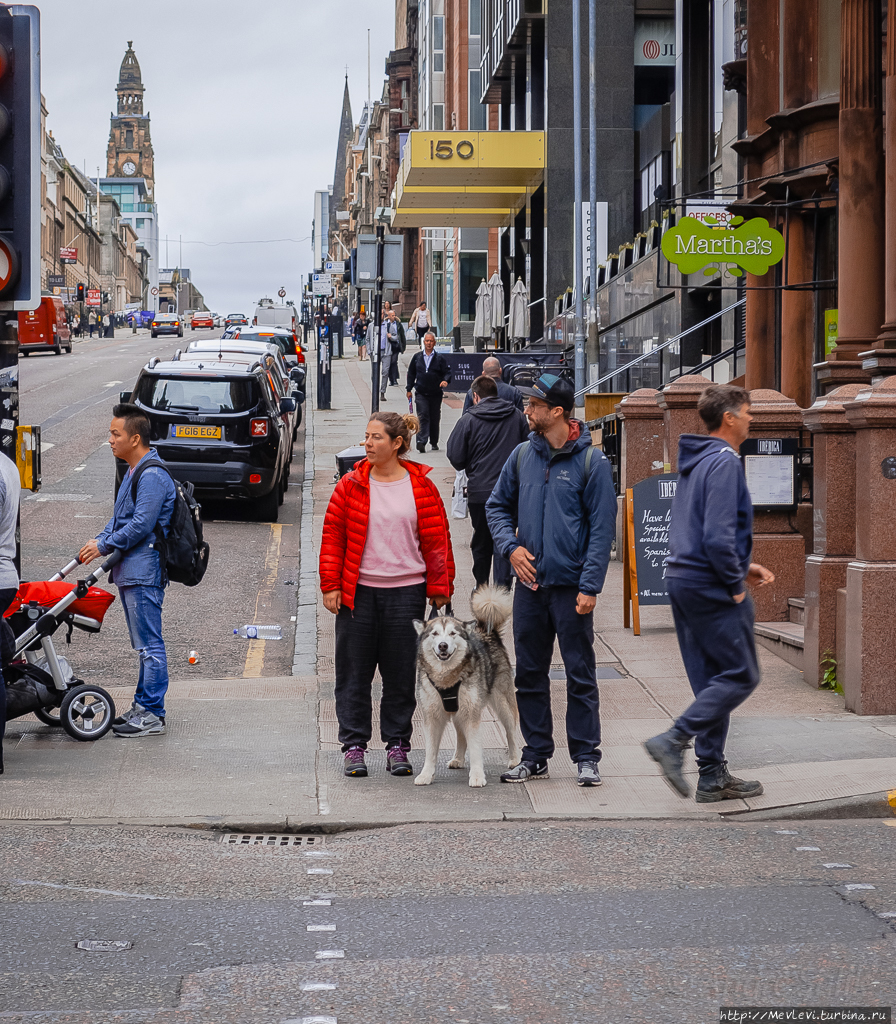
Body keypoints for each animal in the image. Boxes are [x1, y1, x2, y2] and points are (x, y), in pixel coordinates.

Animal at [413, 589, 524, 786]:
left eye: (452, 633)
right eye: (434, 634)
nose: (443, 645)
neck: (447, 677)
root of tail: (487, 632)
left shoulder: (472, 713)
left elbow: (475, 748)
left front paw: (477, 775)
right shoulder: (432, 716)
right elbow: (431, 750)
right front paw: (426, 774)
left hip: (502, 703)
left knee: (510, 731)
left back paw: (514, 759)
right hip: (459, 710)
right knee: (460, 735)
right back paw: (457, 758)